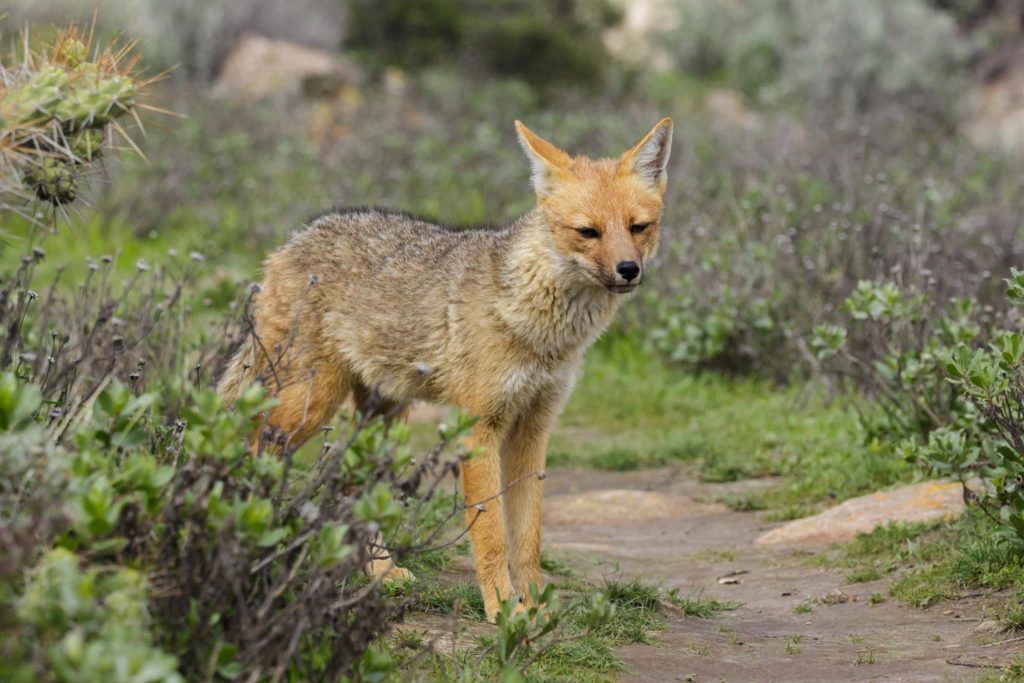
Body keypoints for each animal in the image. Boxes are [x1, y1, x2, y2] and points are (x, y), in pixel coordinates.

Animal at [218, 118, 671, 626]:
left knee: (352, 485)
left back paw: (382, 572)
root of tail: (290, 241)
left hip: (382, 419)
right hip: (310, 406)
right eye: (588, 232)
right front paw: (503, 608)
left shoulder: (534, 429)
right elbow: (491, 535)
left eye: (638, 227)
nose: (629, 270)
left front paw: (536, 608)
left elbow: (528, 538)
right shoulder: (479, 428)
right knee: (254, 445)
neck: (542, 332)